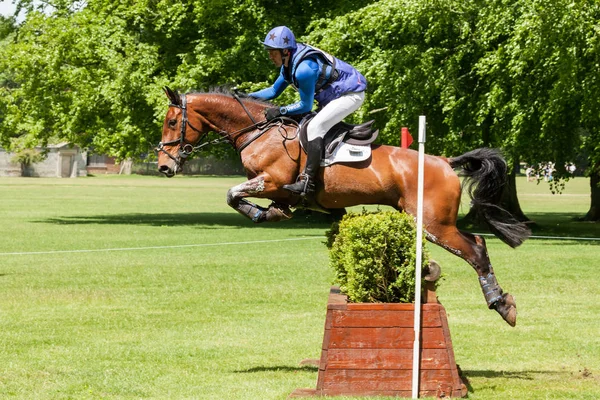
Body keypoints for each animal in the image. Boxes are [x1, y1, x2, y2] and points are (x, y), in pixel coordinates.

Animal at [156, 86, 528, 324]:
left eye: (173, 123)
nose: (163, 167)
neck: (258, 132)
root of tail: (445, 161)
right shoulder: (313, 203)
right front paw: (274, 212)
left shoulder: (271, 180)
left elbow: (232, 194)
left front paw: (259, 213)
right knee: (477, 244)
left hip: (434, 225)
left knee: (476, 248)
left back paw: (501, 304)